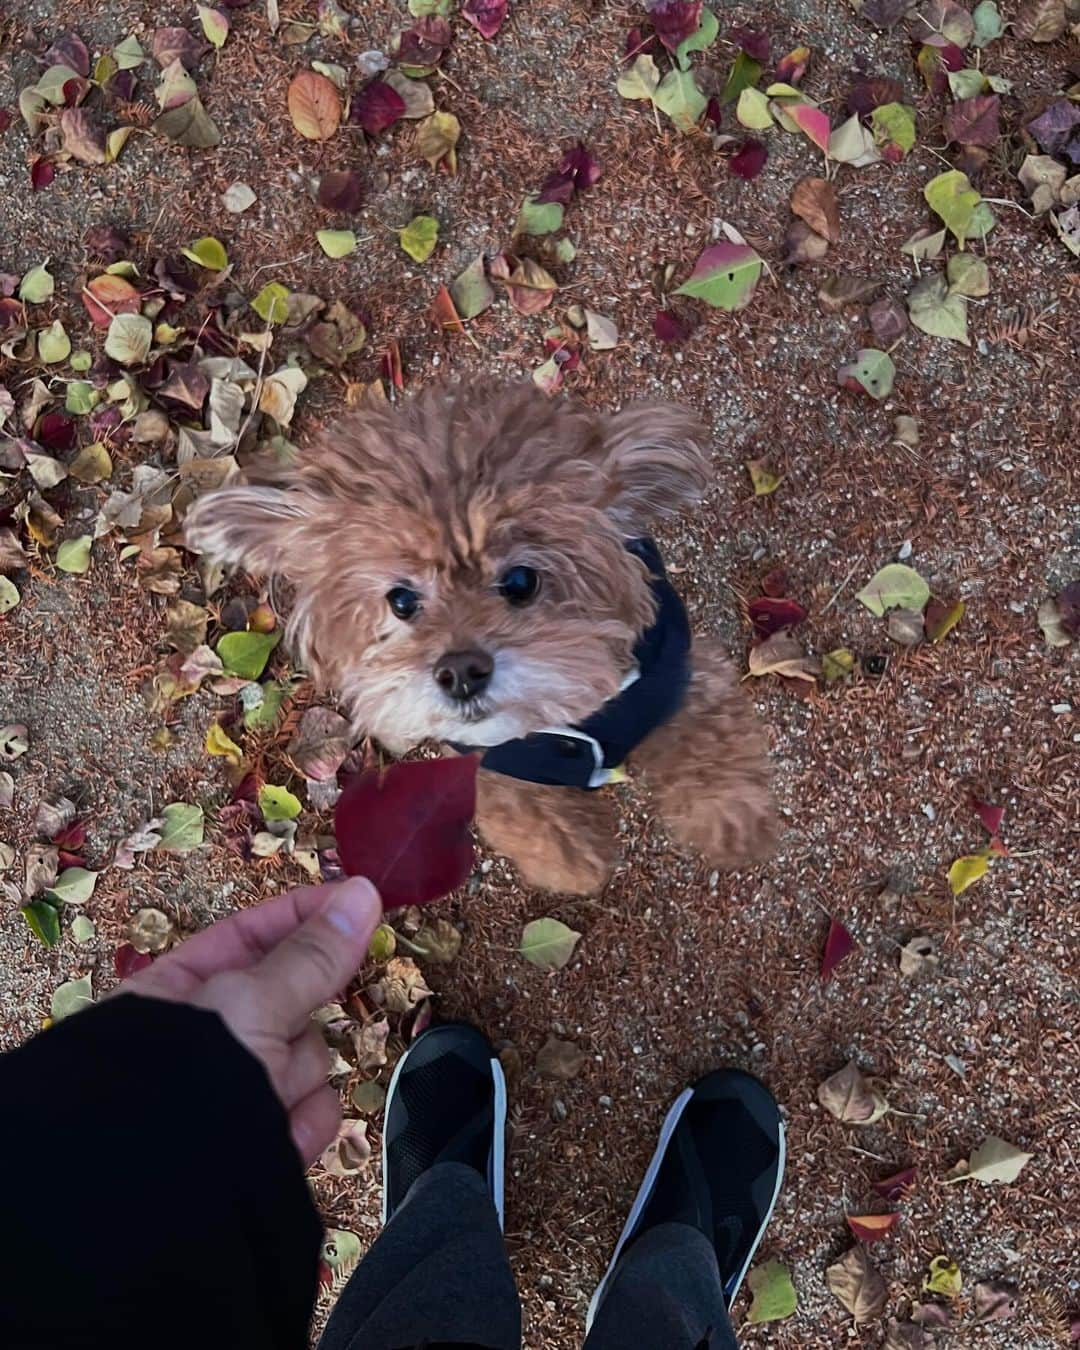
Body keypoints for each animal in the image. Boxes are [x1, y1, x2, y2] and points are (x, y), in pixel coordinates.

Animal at [186, 378, 777, 896]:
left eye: (521, 581)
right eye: (401, 600)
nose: (461, 672)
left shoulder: (674, 674)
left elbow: (711, 743)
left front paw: (731, 821)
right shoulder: (496, 758)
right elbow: (530, 816)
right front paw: (574, 863)